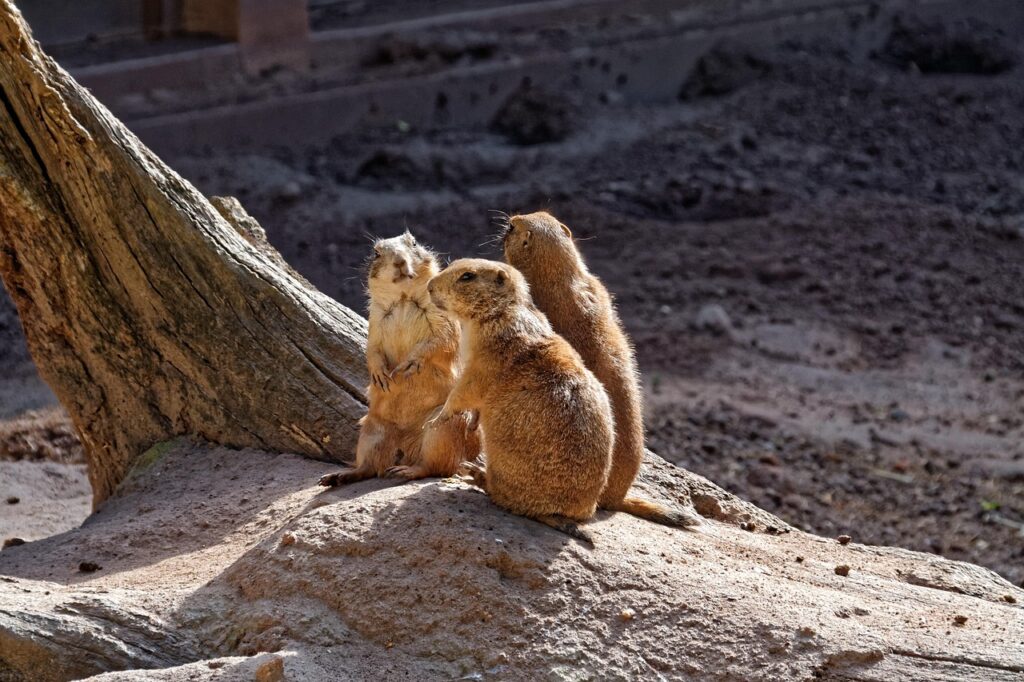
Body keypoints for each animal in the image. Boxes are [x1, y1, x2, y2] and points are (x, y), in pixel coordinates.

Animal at [319, 231, 479, 486]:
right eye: (376, 253)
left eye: (413, 242)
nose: (400, 261)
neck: (403, 298)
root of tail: (406, 446)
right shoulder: (375, 321)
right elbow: (371, 350)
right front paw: (380, 375)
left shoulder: (442, 319)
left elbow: (440, 340)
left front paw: (410, 363)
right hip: (371, 432)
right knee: (368, 468)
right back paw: (336, 476)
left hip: (444, 428)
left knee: (436, 467)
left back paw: (405, 471)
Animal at [427, 258, 612, 544]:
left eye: (467, 276)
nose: (428, 286)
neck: (501, 312)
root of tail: (564, 513)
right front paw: (471, 423)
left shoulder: (482, 363)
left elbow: (463, 392)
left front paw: (436, 419)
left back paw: (475, 474)